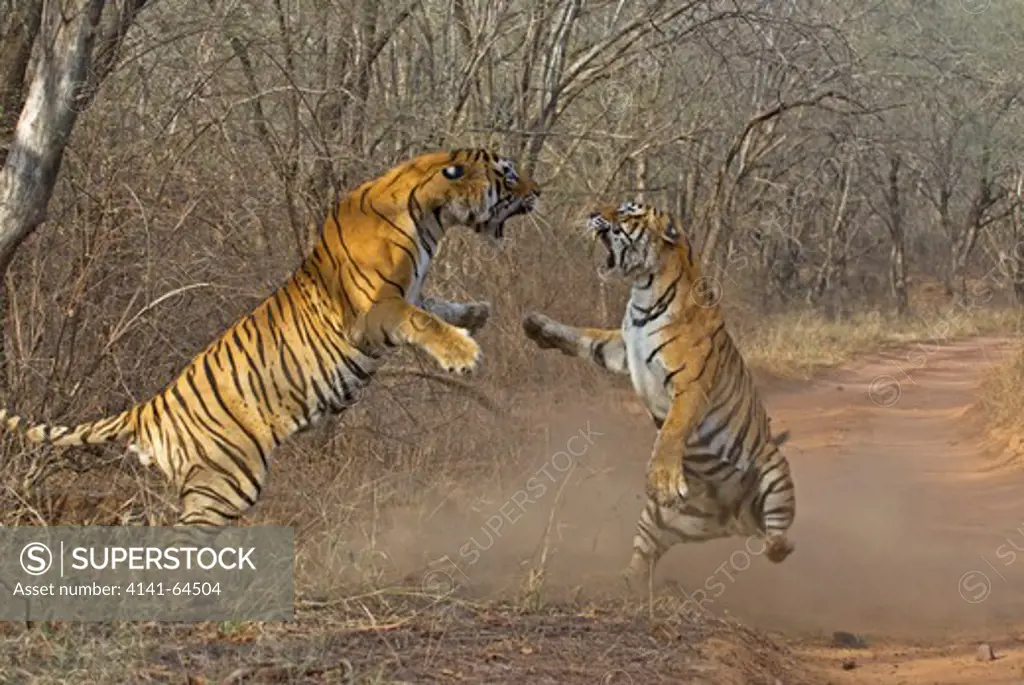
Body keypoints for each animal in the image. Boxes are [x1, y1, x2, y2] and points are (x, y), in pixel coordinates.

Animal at [0, 148, 540, 524]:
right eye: (509, 174)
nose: (541, 189)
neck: (430, 212)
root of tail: (148, 406)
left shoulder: (408, 291)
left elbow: (433, 304)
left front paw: (476, 313)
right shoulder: (376, 309)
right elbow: (420, 318)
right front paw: (464, 352)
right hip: (225, 482)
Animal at [524, 200, 794, 589]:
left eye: (626, 212)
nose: (591, 211)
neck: (643, 294)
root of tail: (734, 520)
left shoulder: (690, 384)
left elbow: (673, 429)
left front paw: (663, 479)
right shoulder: (621, 348)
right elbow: (586, 336)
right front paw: (538, 326)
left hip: (775, 476)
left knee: (777, 540)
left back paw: (776, 544)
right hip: (656, 521)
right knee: (642, 559)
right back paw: (623, 584)